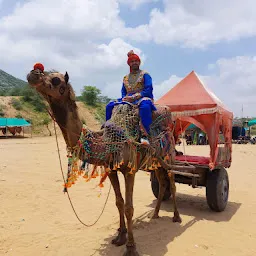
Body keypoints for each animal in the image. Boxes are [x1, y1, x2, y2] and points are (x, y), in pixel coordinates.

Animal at [27, 67, 183, 256]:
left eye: (56, 80)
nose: (33, 73)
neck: (107, 142)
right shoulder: (111, 169)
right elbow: (119, 202)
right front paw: (120, 236)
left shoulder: (129, 170)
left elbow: (129, 207)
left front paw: (131, 248)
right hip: (155, 162)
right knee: (161, 183)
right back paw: (155, 214)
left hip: (169, 155)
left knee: (172, 182)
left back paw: (176, 217)